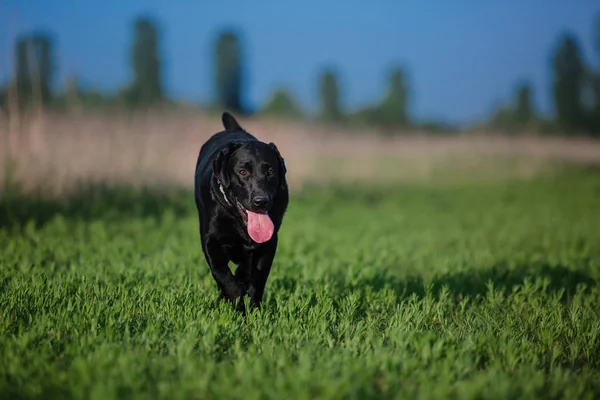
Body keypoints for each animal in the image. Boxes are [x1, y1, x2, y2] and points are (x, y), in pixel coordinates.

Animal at [195, 111, 288, 310]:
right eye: (243, 172)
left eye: (270, 171)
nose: (261, 201)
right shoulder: (210, 241)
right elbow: (222, 274)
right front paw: (236, 301)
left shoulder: (269, 244)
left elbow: (258, 279)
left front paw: (253, 308)